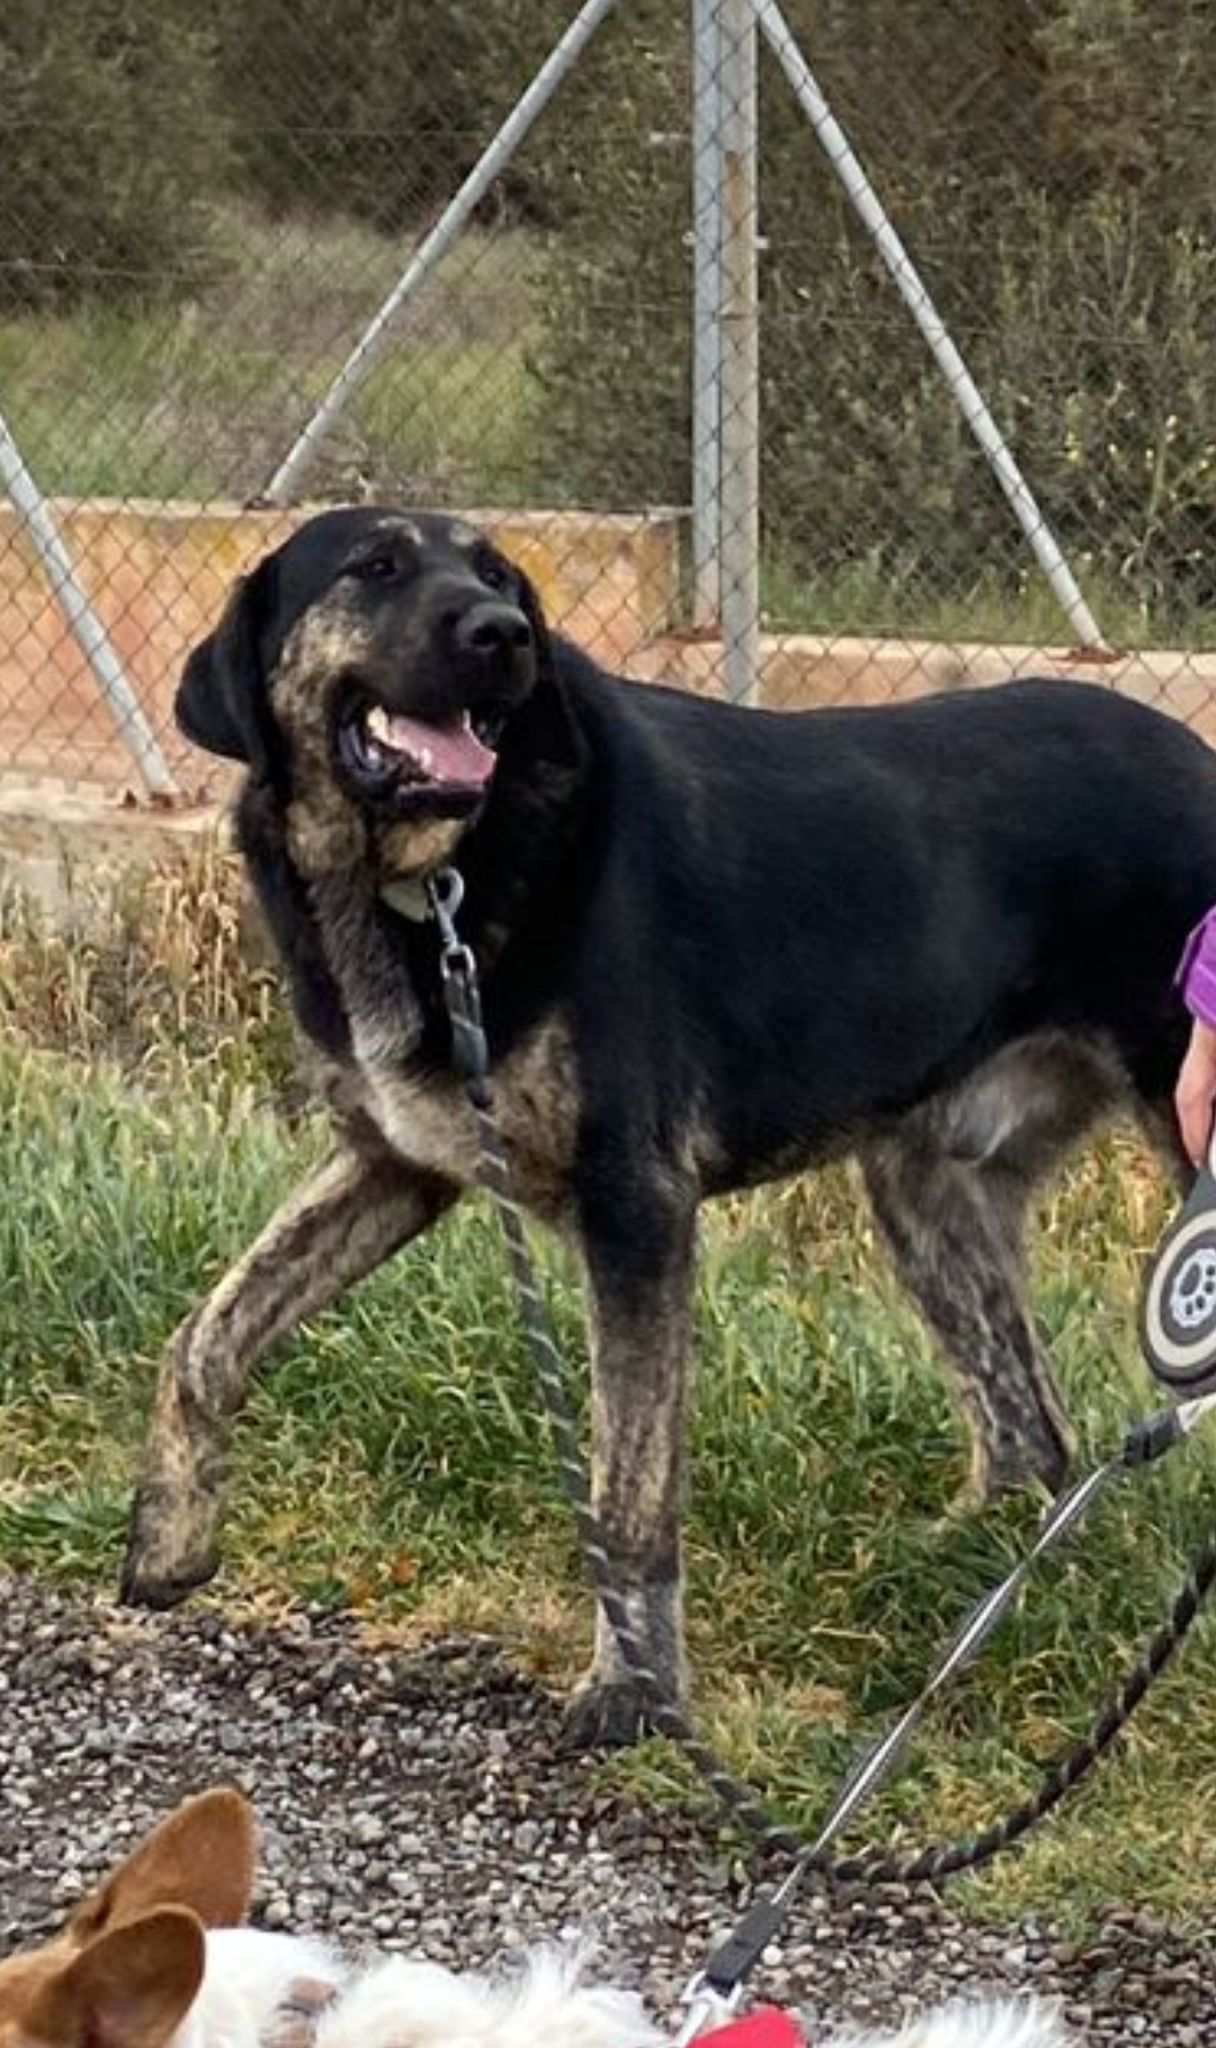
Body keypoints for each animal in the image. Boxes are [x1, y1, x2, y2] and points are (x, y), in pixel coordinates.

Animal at [118, 503, 1211, 1736]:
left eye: (499, 577)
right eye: (375, 566)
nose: (505, 636)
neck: (422, 882)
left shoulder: (634, 1208)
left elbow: (626, 1491)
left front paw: (635, 1694)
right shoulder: (393, 1164)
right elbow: (205, 1338)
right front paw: (170, 1532)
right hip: (925, 1188)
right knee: (1030, 1426)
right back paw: (961, 1573)